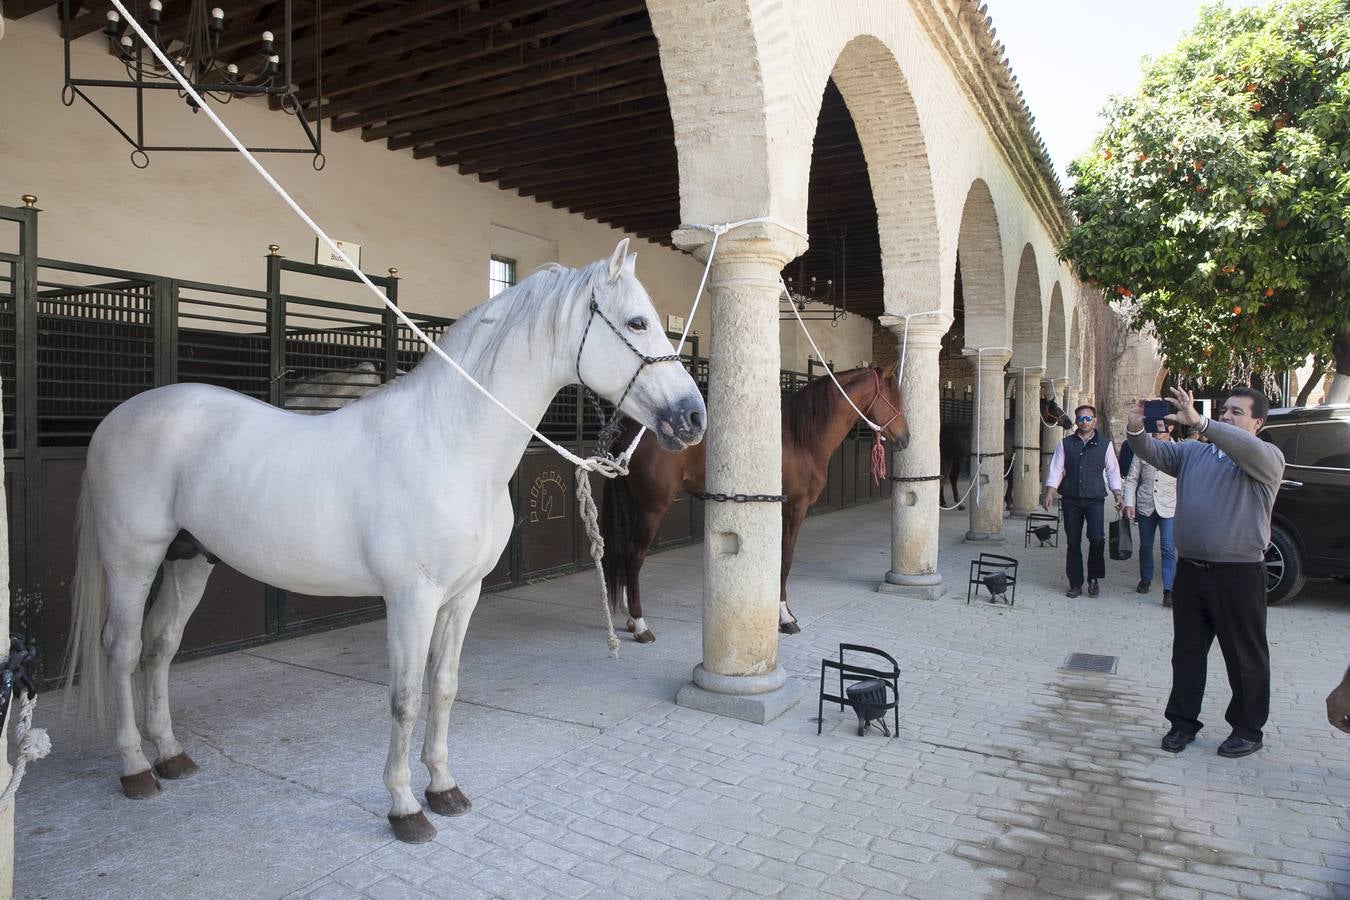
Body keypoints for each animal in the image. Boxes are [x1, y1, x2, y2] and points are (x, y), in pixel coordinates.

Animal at [63, 241, 707, 847]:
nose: (692, 417)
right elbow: (405, 697)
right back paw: (135, 768)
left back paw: (171, 756)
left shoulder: (462, 596)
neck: (448, 441)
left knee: (160, 648)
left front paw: (443, 788)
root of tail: (118, 418)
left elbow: (443, 688)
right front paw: (404, 808)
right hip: (133, 560)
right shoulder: (411, 599)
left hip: (190, 560)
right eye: (637, 323)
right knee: (122, 649)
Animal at [599, 361, 907, 644]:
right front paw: (785, 618)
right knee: (635, 556)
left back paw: (630, 618)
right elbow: (786, 558)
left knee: (625, 554)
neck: (800, 437)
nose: (906, 438)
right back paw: (641, 626)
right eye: (893, 398)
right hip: (652, 509)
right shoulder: (795, 508)